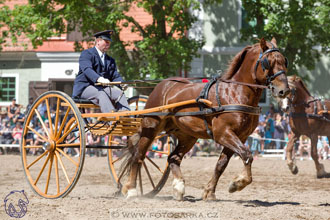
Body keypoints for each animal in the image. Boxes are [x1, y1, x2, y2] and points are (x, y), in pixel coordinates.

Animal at [123, 37, 288, 199]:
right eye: (267, 62)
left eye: (284, 61)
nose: (284, 90)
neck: (235, 92)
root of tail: (162, 85)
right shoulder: (223, 133)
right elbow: (247, 154)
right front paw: (238, 183)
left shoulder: (240, 136)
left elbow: (222, 164)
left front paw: (209, 192)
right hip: (151, 127)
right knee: (138, 156)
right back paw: (131, 190)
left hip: (188, 136)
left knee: (173, 158)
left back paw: (179, 187)